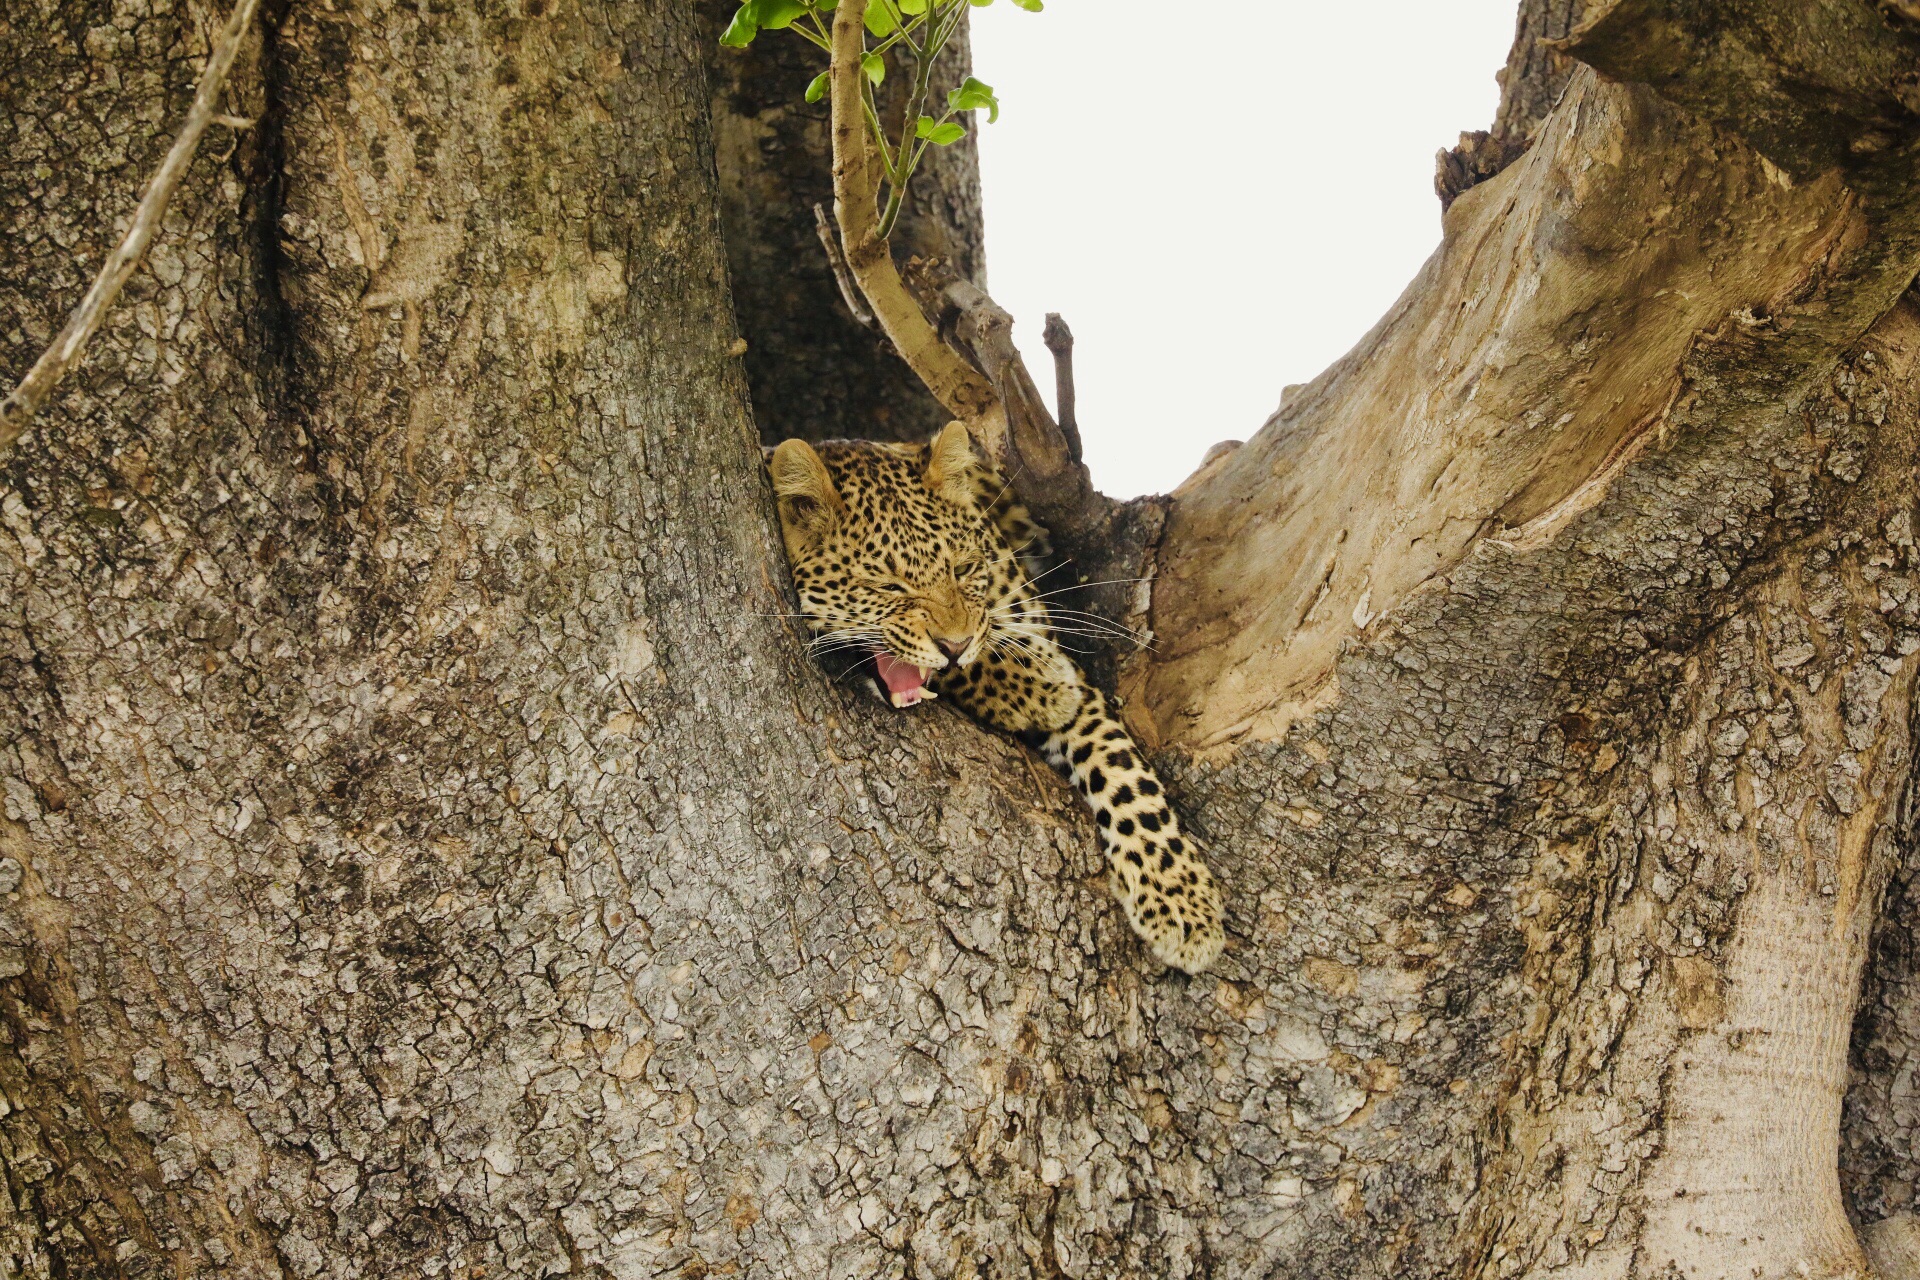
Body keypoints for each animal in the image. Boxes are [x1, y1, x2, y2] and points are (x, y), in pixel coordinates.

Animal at [768, 420, 1228, 971]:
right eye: (887, 586)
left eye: (963, 568)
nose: (955, 643)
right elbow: (971, 670)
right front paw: (1038, 690)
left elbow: (1124, 776)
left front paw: (1182, 902)